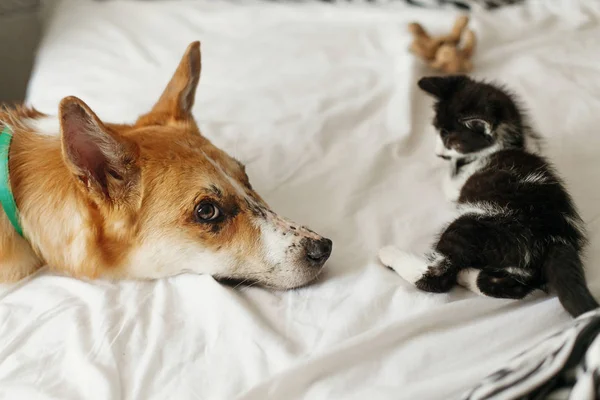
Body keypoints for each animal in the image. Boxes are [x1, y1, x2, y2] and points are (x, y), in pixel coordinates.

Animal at [380, 76, 596, 316]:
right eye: (437, 130)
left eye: (452, 141)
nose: (438, 153)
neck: (512, 143)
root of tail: (555, 239)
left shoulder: (460, 185)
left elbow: (451, 182)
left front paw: (450, 167)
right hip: (519, 260)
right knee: (513, 285)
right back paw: (467, 276)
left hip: (476, 223)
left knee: (438, 275)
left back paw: (391, 254)